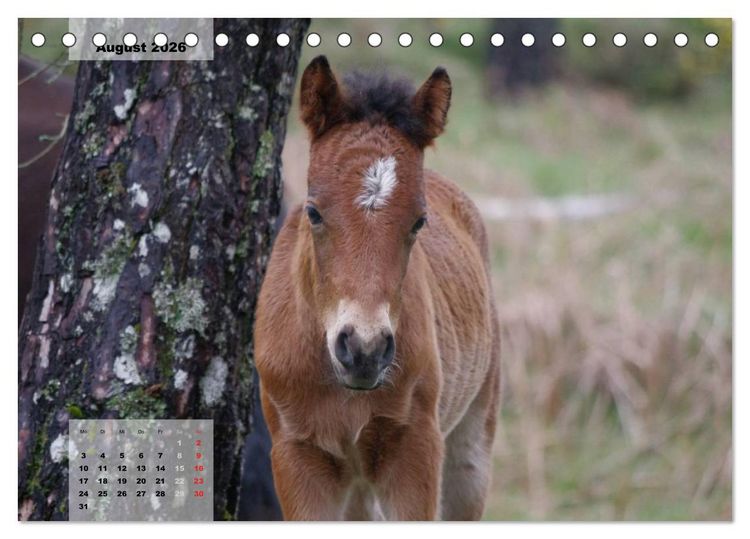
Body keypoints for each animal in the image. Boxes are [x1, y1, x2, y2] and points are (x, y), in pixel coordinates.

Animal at [254, 56, 501, 521]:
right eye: (313, 212)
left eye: (419, 221)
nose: (364, 349)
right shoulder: (296, 456)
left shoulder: (415, 448)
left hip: (473, 443)